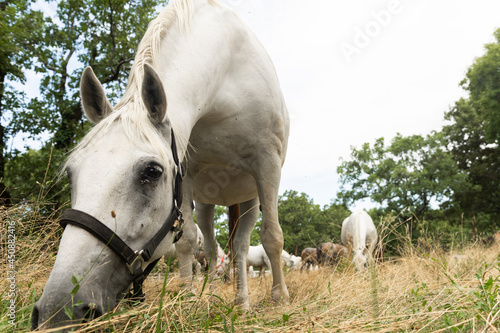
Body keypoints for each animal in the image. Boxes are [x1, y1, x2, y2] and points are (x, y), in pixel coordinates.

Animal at [32, 0, 290, 326]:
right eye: (70, 173)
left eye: (152, 172)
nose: (57, 310)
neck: (226, 80)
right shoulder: (187, 172)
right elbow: (188, 240)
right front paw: (191, 300)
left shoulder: (267, 165)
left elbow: (272, 237)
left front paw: (280, 301)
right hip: (207, 203)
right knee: (211, 246)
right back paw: (213, 294)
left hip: (250, 198)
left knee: (242, 247)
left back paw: (242, 302)